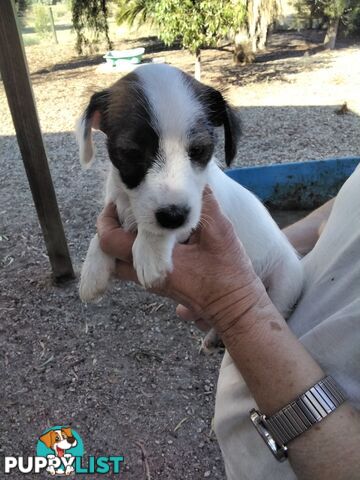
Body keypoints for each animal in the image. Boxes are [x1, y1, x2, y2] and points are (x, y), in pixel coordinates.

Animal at [76, 64, 304, 348]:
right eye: (130, 152)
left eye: (198, 150)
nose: (173, 216)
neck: (130, 204)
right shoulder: (117, 204)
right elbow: (101, 233)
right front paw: (92, 270)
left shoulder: (197, 217)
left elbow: (157, 231)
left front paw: (149, 249)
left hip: (284, 285)